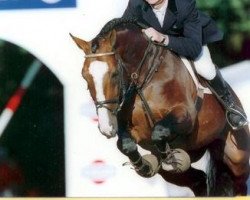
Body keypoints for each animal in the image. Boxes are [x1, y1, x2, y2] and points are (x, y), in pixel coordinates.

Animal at [71, 18, 250, 196]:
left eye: (115, 74)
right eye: (84, 76)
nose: (106, 127)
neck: (144, 77)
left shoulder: (186, 115)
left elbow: (159, 131)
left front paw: (169, 158)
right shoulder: (132, 129)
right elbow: (126, 145)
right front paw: (144, 166)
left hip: (237, 157)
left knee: (239, 182)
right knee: (198, 180)